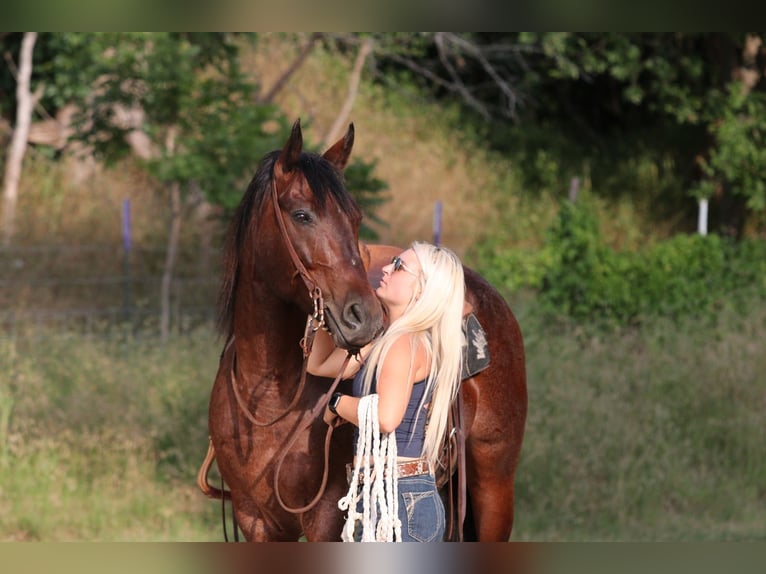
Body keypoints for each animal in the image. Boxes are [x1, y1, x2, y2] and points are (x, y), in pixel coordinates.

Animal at [200, 119, 527, 541]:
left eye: (355, 218)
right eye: (302, 215)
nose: (366, 317)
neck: (271, 395)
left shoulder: (326, 516)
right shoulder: (255, 519)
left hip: (493, 489)